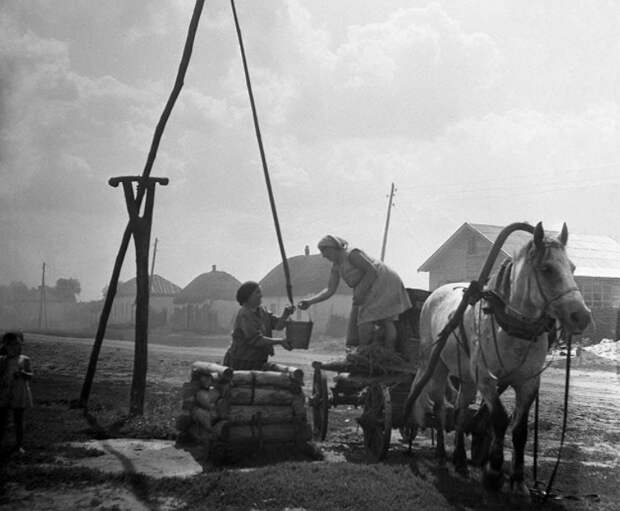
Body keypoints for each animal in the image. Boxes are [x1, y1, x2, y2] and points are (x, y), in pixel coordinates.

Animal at [406, 223, 592, 496]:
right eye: (547, 269)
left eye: (573, 267)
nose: (581, 316)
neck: (512, 329)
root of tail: (434, 294)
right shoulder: (486, 379)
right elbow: (500, 420)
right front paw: (493, 472)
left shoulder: (528, 382)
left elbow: (520, 429)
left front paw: (518, 480)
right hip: (436, 366)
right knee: (440, 408)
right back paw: (440, 453)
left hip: (467, 378)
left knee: (460, 412)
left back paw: (460, 460)